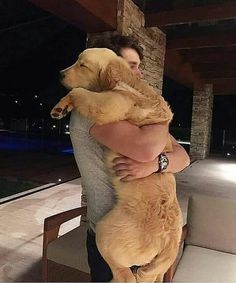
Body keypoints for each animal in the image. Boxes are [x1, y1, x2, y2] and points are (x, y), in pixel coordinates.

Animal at [50, 48, 183, 283]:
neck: (126, 80)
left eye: (83, 65)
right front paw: (61, 106)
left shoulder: (112, 105)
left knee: (126, 275)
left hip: (107, 231)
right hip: (153, 267)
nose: (60, 74)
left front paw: (65, 102)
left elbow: (79, 92)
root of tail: (169, 245)